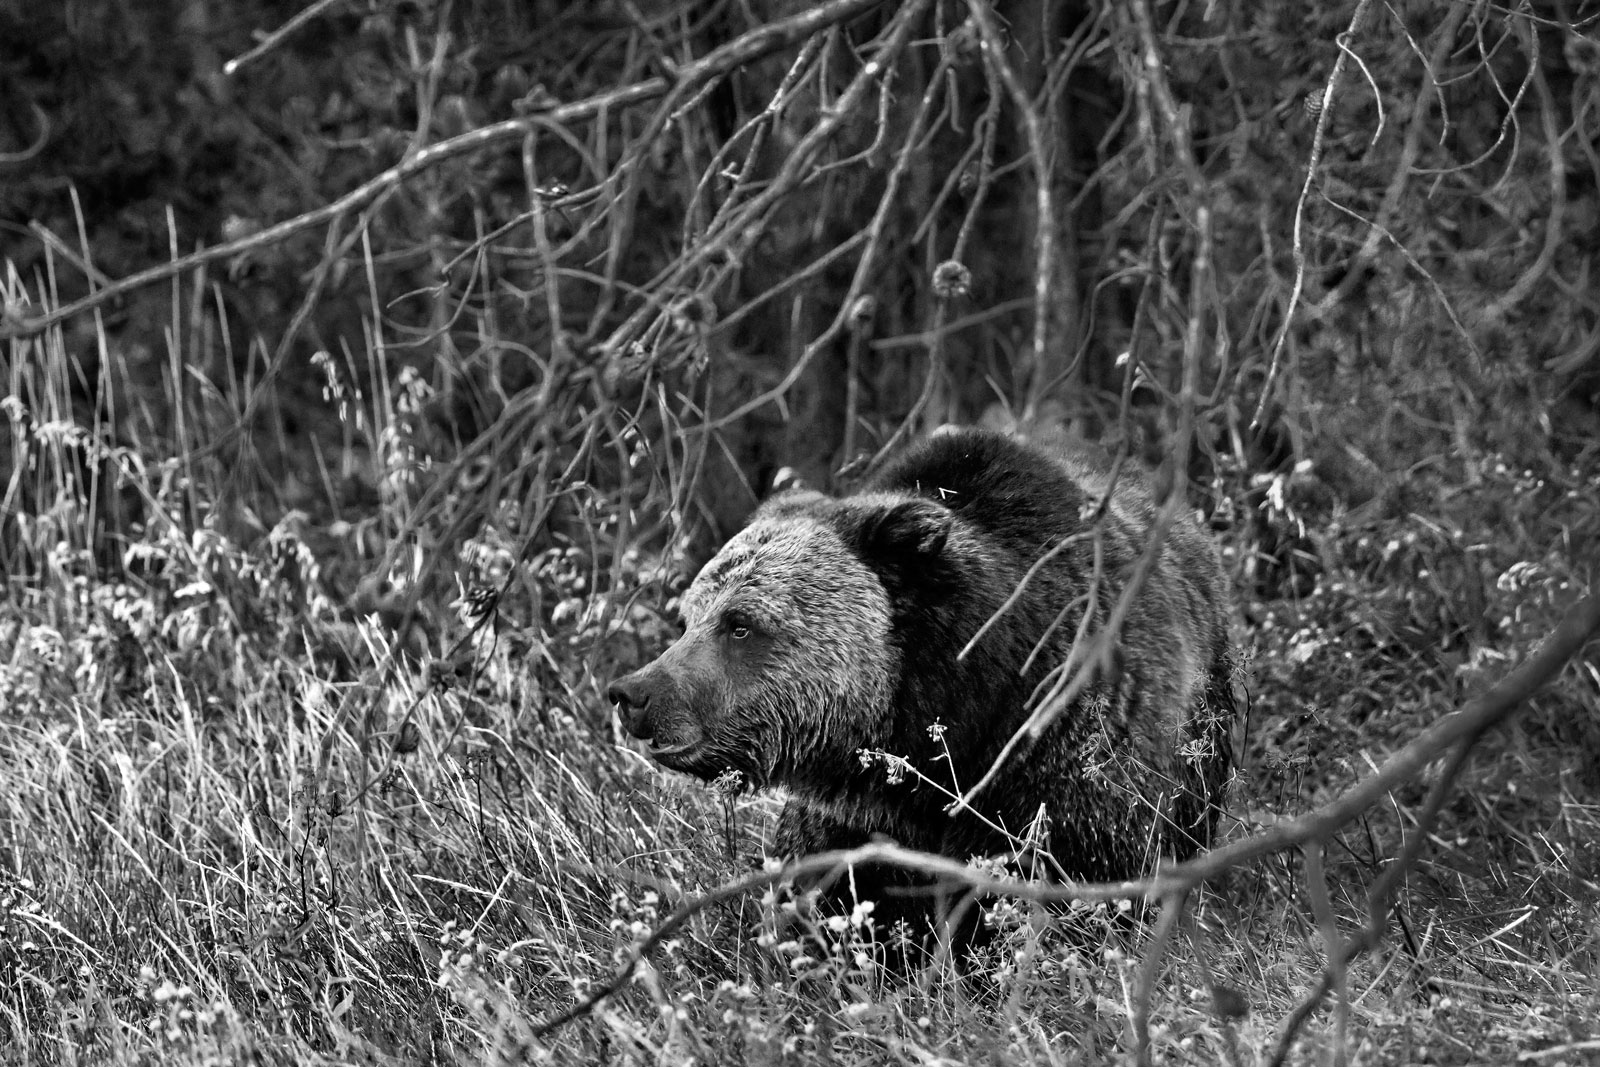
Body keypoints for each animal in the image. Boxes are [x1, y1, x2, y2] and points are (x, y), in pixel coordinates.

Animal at [608, 427, 1235, 927]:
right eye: (689, 616)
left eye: (740, 624)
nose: (633, 693)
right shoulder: (856, 820)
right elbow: (842, 896)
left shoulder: (1062, 766)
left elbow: (1071, 881)